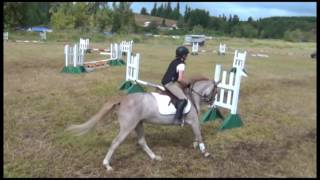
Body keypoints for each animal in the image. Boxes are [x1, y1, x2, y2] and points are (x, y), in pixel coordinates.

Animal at [66, 76, 219, 172]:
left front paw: (195, 145)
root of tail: (122, 100)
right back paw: (107, 165)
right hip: (127, 127)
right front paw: (205, 152)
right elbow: (199, 134)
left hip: (138, 124)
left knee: (141, 141)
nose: (212, 102)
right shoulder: (193, 121)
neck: (191, 97)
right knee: (115, 143)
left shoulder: (192, 122)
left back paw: (154, 157)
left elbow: (197, 134)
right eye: (215, 91)